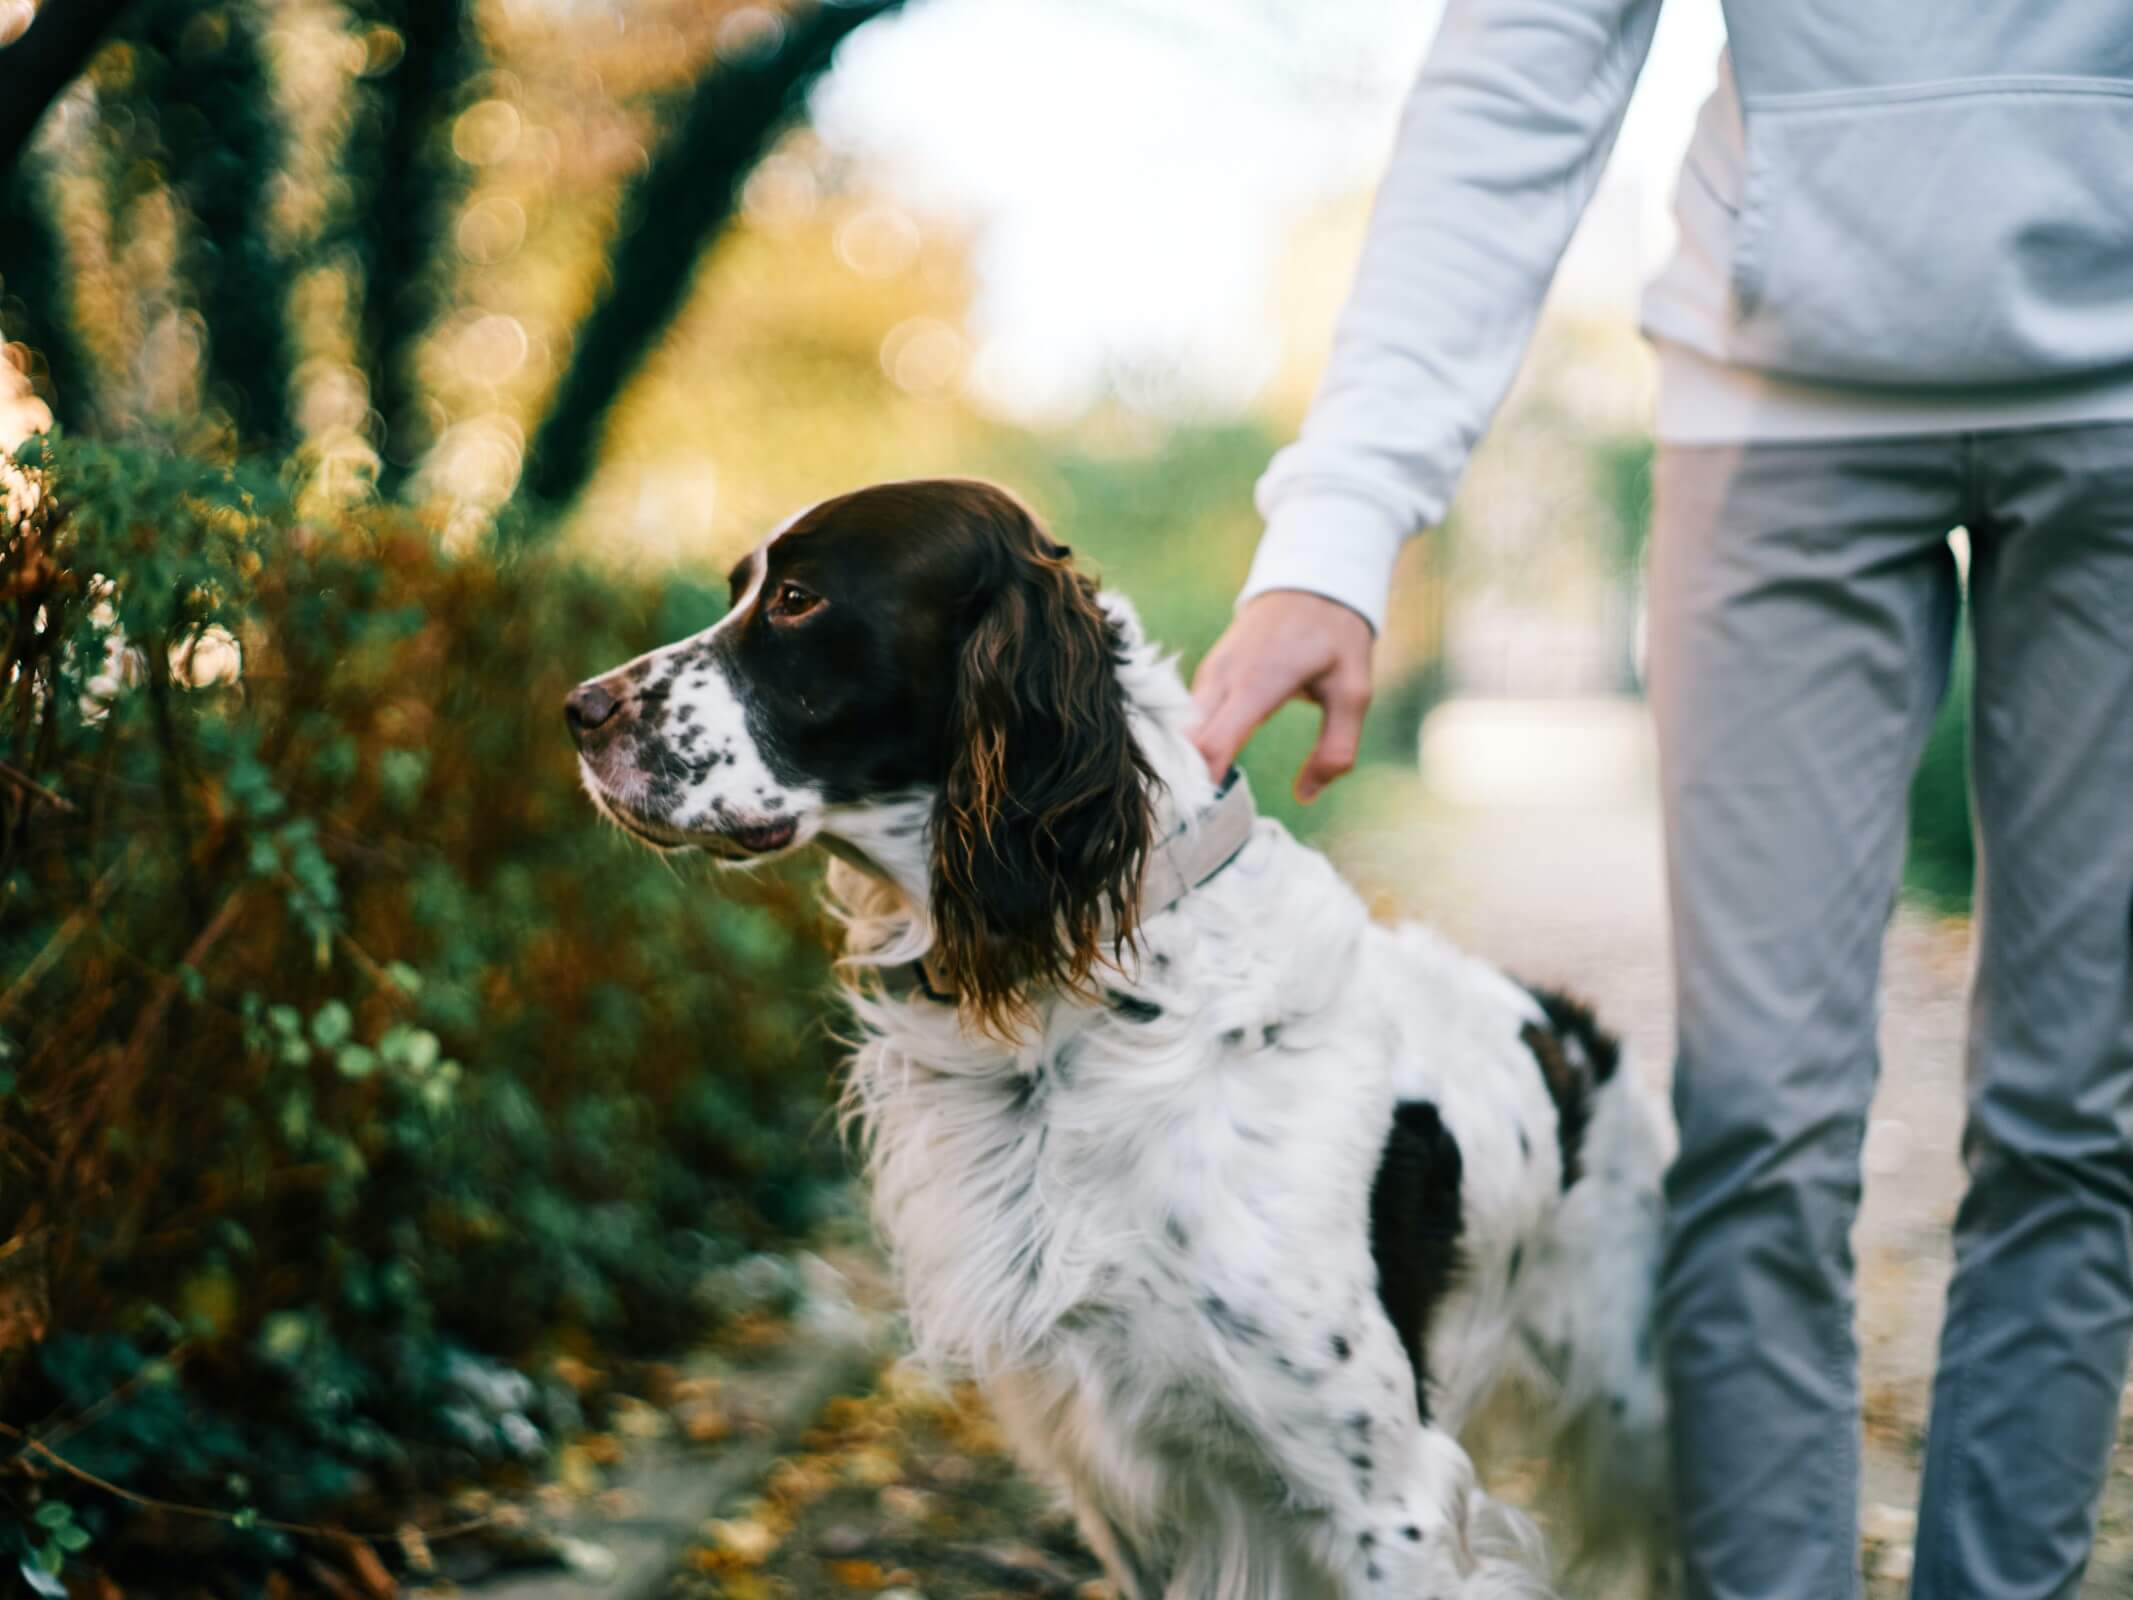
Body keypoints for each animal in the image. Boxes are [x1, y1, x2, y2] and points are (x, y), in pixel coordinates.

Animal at [575, 480, 1672, 1600]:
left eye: (797, 600)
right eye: (738, 591)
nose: (579, 709)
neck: (1083, 1004)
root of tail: (1586, 1038)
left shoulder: (1384, 1500)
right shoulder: (1127, 1484)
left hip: (1633, 1418)